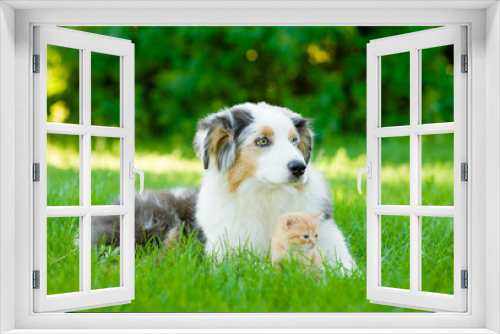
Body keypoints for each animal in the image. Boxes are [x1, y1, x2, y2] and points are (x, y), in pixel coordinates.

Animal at [93, 102, 356, 272]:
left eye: (294, 141)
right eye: (262, 141)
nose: (299, 168)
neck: (267, 195)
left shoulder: (331, 242)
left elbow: (347, 271)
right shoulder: (227, 250)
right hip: (157, 224)